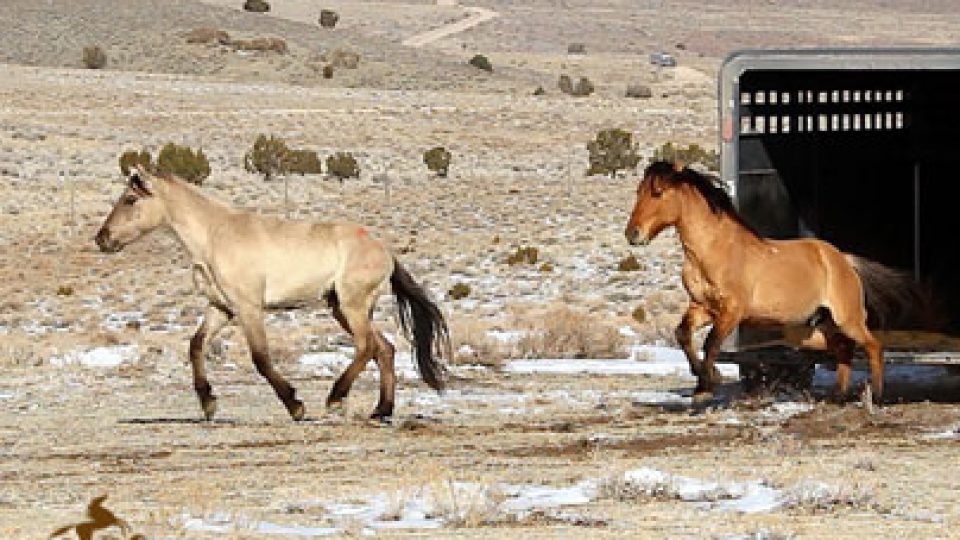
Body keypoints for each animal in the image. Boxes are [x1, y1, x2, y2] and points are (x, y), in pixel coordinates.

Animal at [95, 166, 450, 421]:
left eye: (130, 199)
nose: (102, 239)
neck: (215, 236)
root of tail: (384, 251)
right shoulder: (221, 307)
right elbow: (196, 345)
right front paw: (209, 404)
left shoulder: (249, 308)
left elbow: (261, 358)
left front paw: (295, 405)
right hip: (343, 308)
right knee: (384, 348)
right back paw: (381, 411)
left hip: (353, 306)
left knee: (366, 347)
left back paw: (335, 399)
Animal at [624, 161, 922, 404]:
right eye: (638, 191)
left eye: (657, 193)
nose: (633, 234)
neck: (715, 250)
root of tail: (842, 260)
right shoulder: (702, 307)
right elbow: (683, 335)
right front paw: (704, 381)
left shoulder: (732, 312)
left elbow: (711, 343)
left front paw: (707, 385)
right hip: (810, 331)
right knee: (844, 349)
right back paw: (837, 396)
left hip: (848, 319)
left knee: (873, 346)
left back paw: (877, 395)